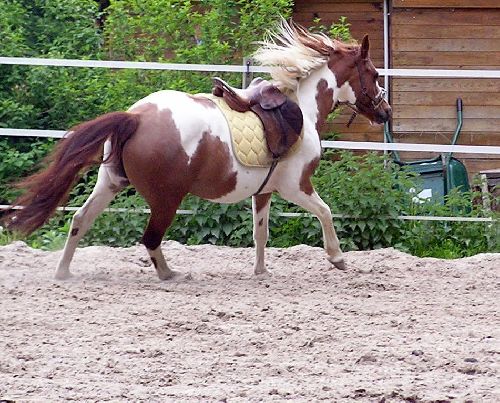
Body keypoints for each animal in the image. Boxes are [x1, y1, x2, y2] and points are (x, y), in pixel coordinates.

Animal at [3, 20, 390, 280]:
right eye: (372, 73)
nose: (385, 112)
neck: (302, 110)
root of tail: (135, 117)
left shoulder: (265, 192)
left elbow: (260, 232)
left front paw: (260, 272)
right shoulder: (296, 186)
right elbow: (325, 212)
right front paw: (337, 258)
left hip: (110, 182)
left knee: (80, 221)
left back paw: (64, 273)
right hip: (166, 198)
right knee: (150, 238)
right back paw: (170, 275)